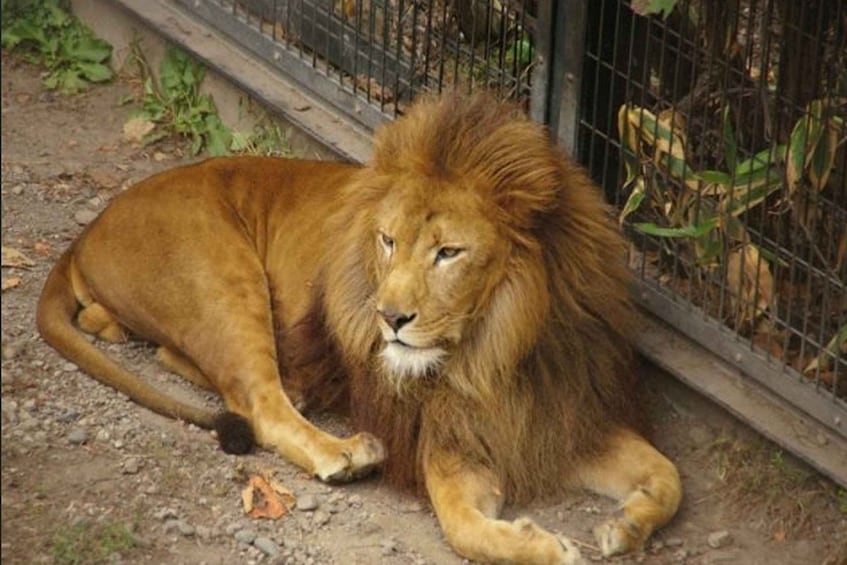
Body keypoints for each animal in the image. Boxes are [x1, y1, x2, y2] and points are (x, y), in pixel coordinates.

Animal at [37, 91, 681, 564]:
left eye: (448, 253)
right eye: (388, 240)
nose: (387, 318)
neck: (498, 354)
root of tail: (86, 232)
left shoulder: (562, 418)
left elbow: (669, 475)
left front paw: (625, 526)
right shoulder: (444, 445)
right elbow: (465, 528)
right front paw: (549, 546)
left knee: (181, 361)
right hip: (221, 269)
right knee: (258, 403)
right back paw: (345, 452)